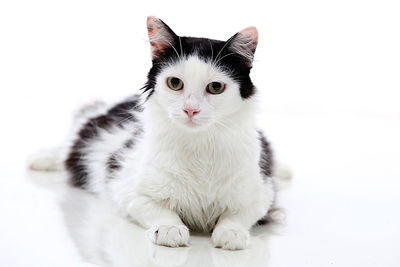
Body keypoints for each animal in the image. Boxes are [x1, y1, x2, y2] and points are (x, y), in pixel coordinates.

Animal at [31, 16, 280, 251]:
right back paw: (41, 159)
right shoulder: (127, 190)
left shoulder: (262, 195)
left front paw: (231, 232)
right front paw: (170, 228)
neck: (198, 145)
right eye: (175, 83)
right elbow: (160, 210)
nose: (190, 110)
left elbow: (237, 215)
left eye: (216, 87)